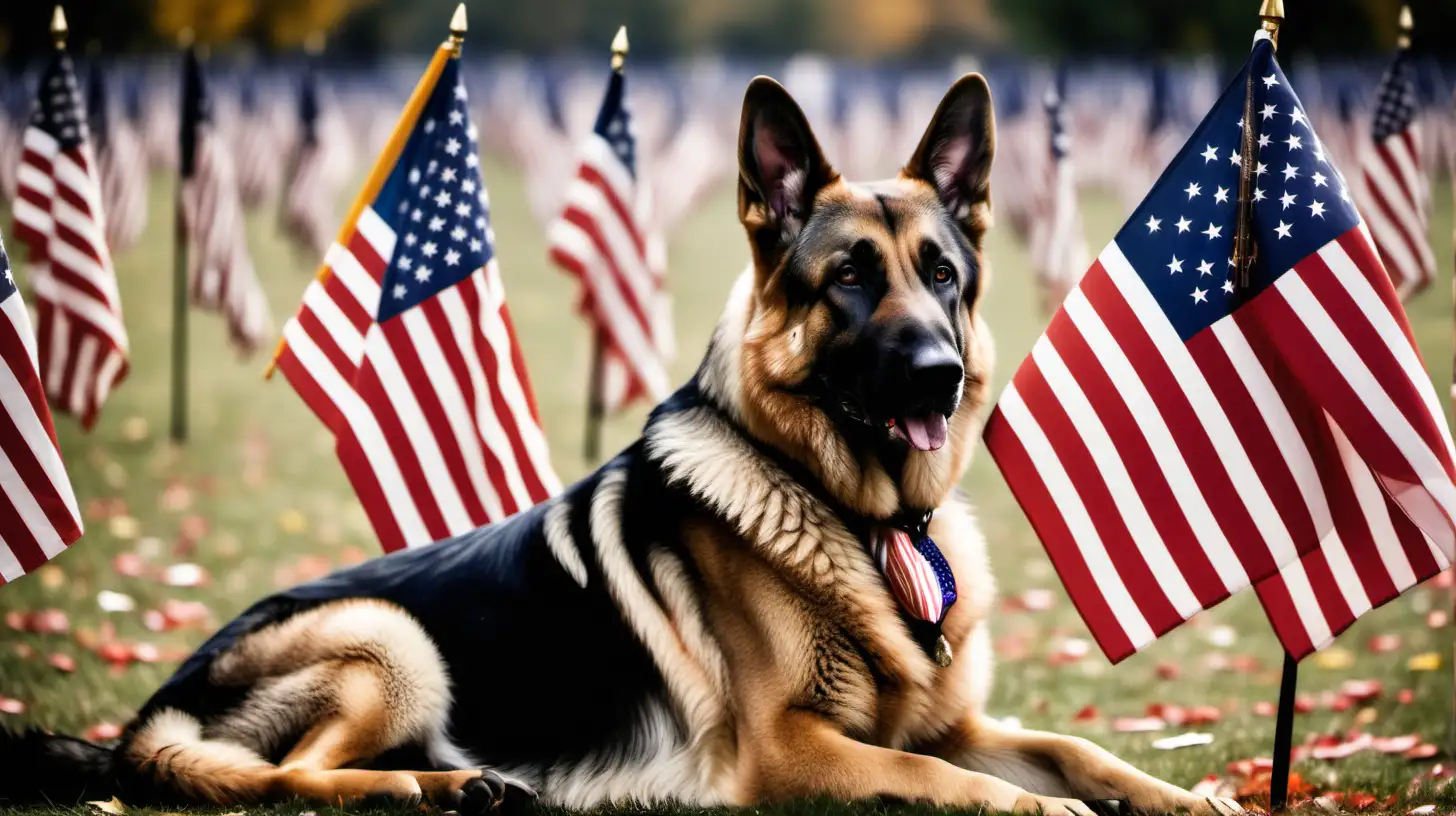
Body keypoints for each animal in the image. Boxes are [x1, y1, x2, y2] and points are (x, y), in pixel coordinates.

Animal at [5, 76, 1246, 816]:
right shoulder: (790, 751)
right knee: (290, 779)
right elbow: (933, 776)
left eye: (941, 274)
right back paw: (432, 791)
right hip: (389, 639)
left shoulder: (963, 720)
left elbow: (1078, 751)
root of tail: (157, 703)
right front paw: (1035, 808)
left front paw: (1180, 798)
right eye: (849, 280)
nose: (938, 373)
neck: (860, 518)